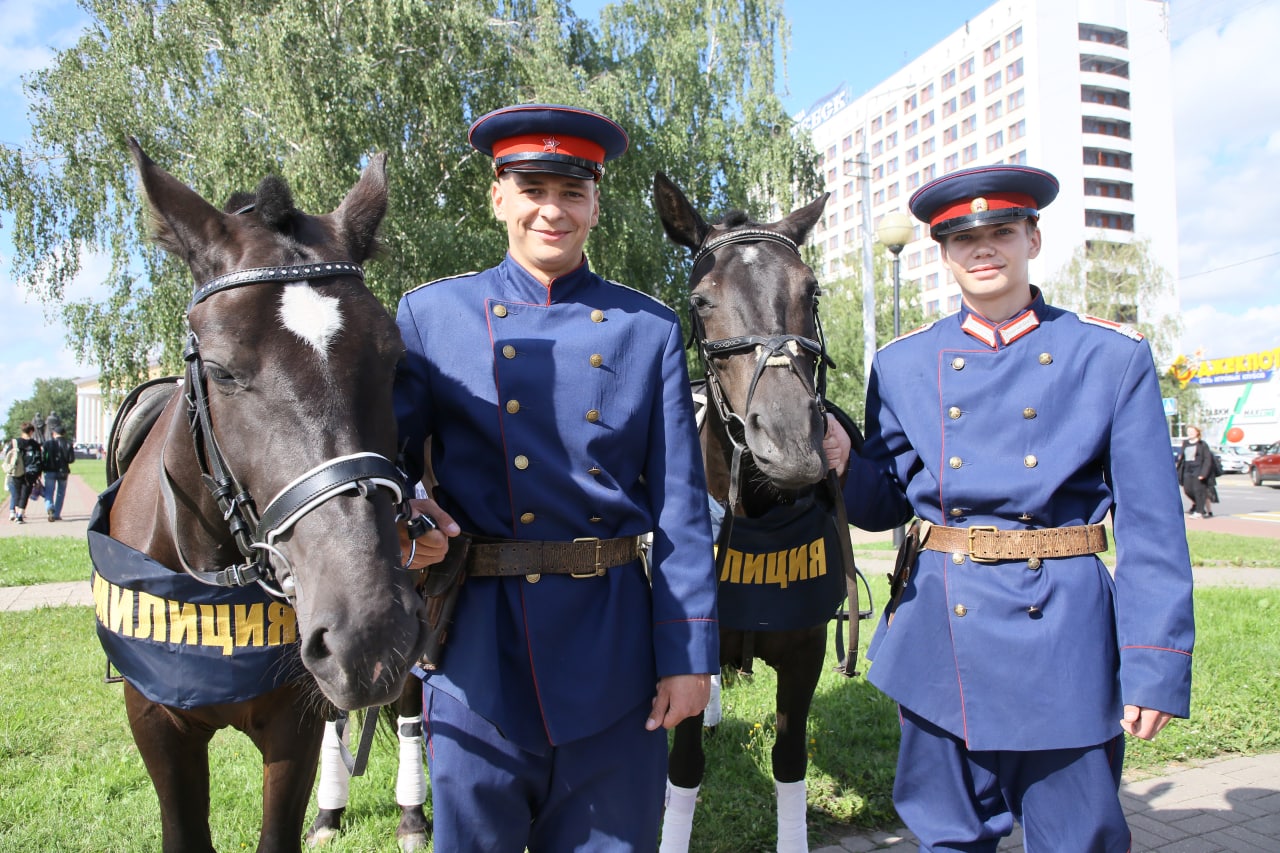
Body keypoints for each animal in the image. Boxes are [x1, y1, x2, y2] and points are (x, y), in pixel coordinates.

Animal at [92, 140, 430, 850]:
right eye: (220, 370)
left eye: (394, 362)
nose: (370, 629)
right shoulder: (157, 725)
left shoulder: (290, 727)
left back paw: (411, 815)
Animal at [655, 172, 855, 850]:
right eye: (701, 299)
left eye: (811, 289)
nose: (792, 441)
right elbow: (684, 766)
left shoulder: (805, 652)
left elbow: (789, 760)